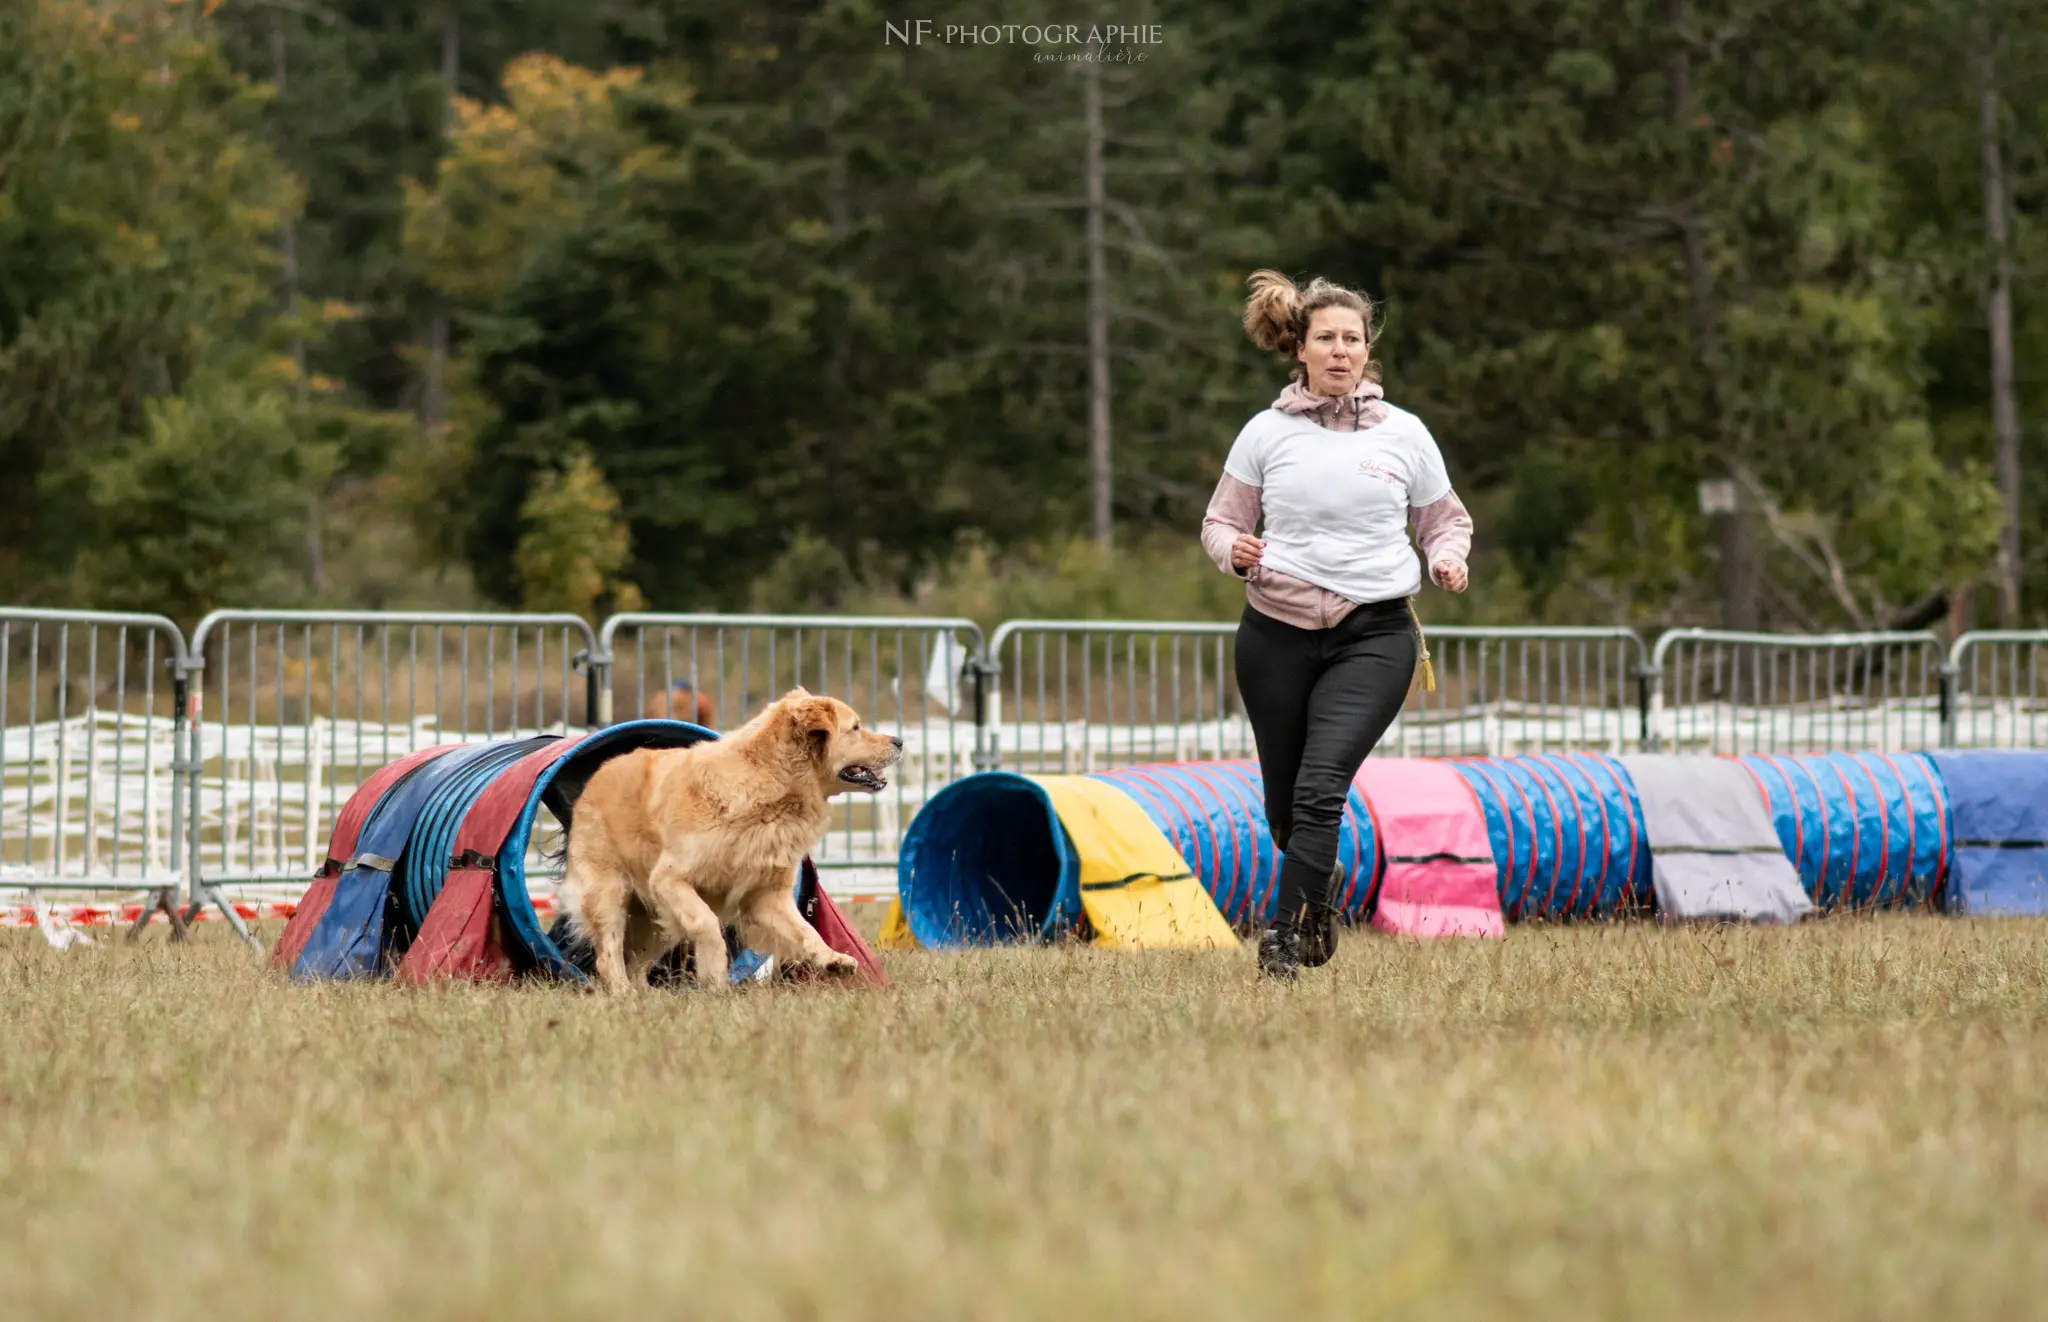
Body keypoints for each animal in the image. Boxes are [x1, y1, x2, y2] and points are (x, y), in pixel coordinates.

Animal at [557, 695, 901, 994]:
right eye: (855, 727)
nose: (898, 741)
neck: (772, 785)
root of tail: (595, 777)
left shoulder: (766, 897)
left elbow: (806, 930)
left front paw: (832, 959)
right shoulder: (669, 879)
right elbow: (707, 923)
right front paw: (716, 977)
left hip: (655, 920)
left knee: (636, 962)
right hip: (610, 894)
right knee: (609, 954)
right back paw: (622, 992)